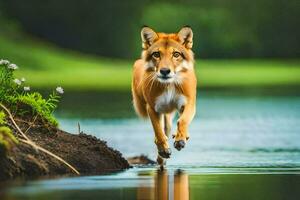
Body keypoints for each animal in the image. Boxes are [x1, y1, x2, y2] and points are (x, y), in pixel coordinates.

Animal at [131, 26, 197, 167]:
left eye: (176, 54)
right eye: (156, 54)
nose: (165, 71)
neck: (169, 86)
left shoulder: (188, 103)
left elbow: (183, 120)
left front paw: (180, 139)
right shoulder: (153, 108)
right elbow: (158, 132)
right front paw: (163, 150)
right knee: (162, 131)